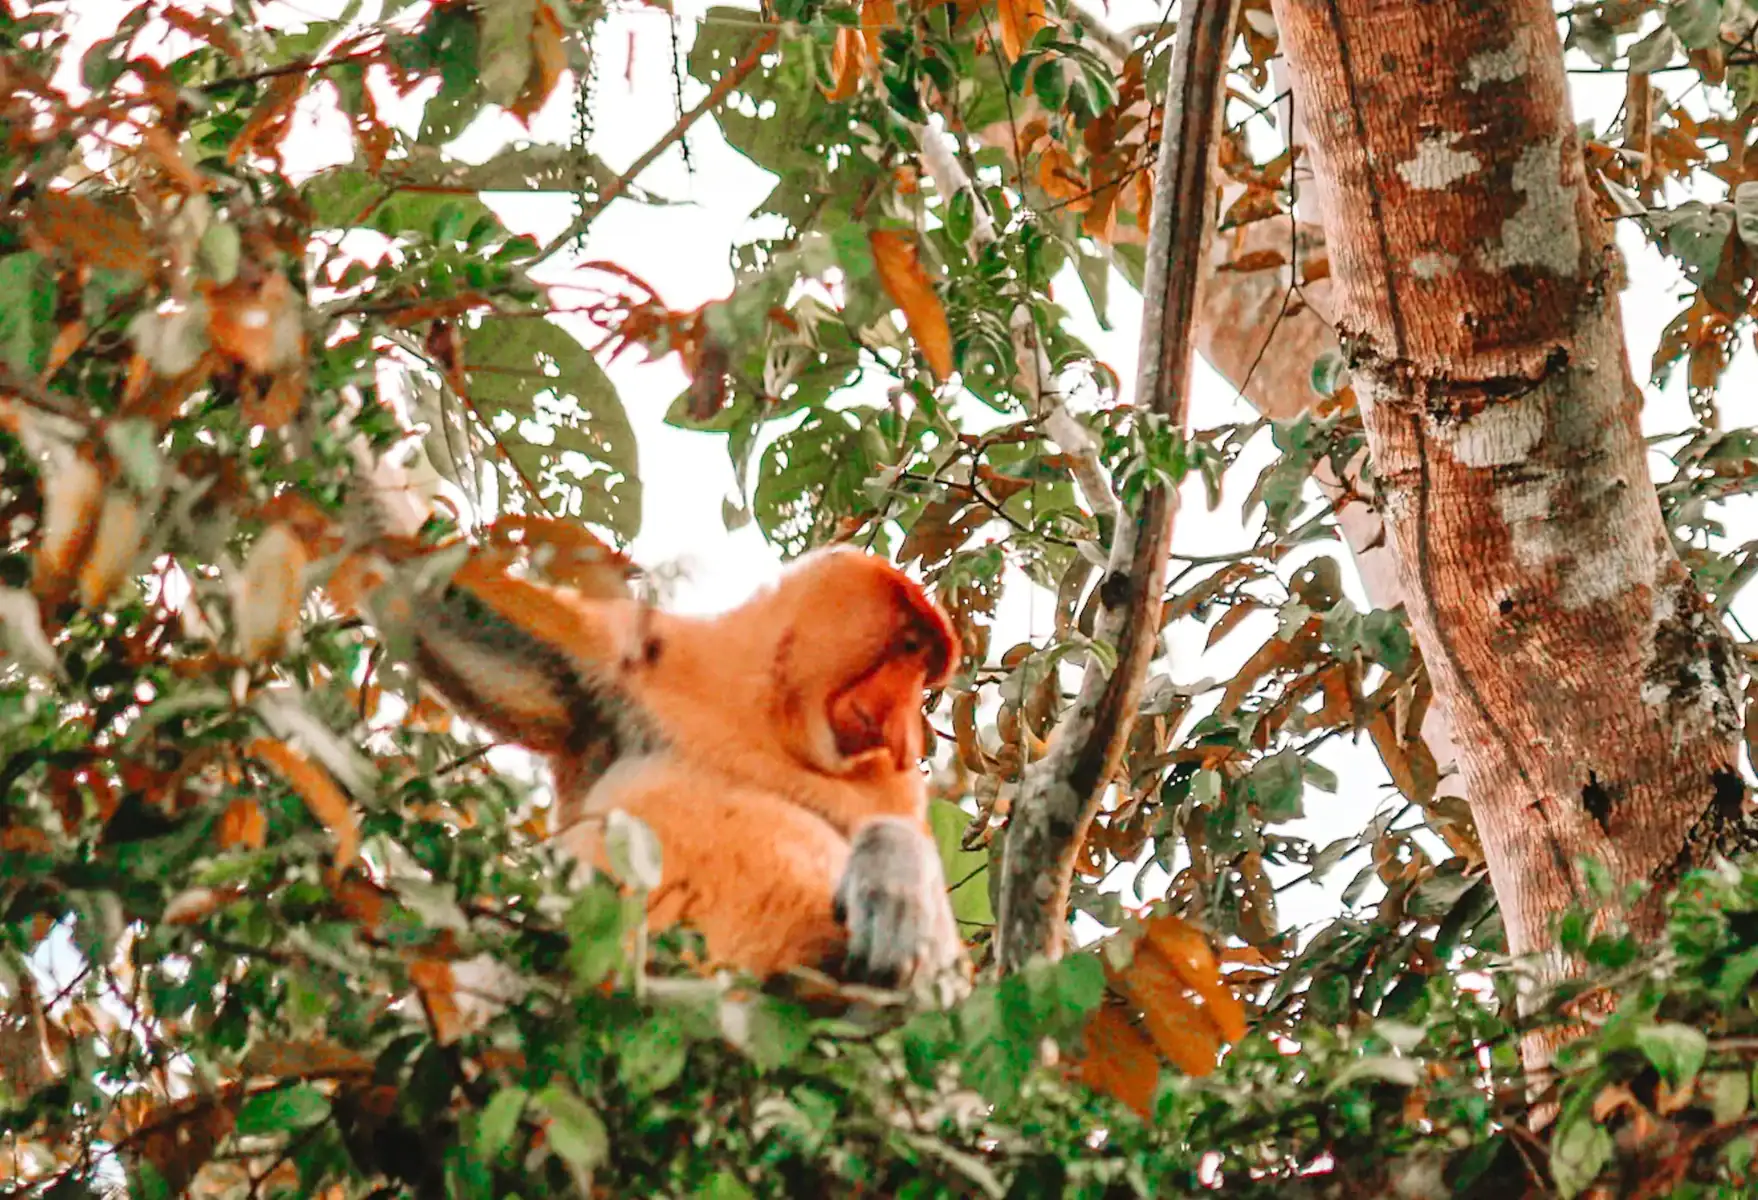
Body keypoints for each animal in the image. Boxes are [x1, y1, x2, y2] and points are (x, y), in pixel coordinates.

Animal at [394, 544, 969, 992]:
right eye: (911, 647)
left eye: (926, 672)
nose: (905, 730)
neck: (773, 720)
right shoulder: (643, 653)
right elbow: (452, 617)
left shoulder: (892, 784)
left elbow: (946, 977)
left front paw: (893, 884)